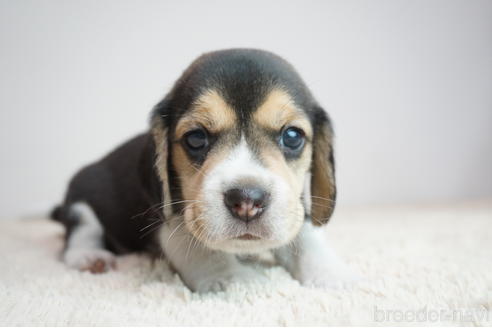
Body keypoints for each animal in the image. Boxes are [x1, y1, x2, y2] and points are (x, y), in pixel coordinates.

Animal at [52, 48, 356, 292]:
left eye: (292, 136)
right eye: (196, 138)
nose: (247, 201)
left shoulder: (295, 206)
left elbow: (307, 237)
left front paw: (333, 275)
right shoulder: (171, 216)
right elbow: (199, 248)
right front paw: (237, 280)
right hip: (81, 197)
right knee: (81, 230)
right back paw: (89, 257)